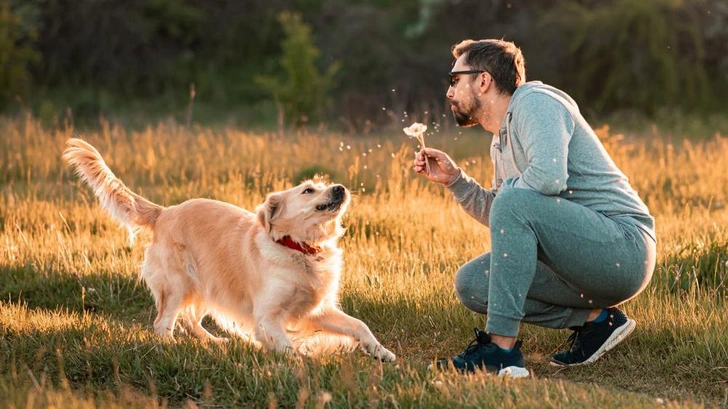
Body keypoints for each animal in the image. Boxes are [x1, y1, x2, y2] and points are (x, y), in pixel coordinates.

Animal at [61, 138, 396, 360]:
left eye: (324, 185)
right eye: (308, 190)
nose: (340, 188)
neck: (300, 249)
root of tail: (165, 212)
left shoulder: (318, 309)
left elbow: (359, 325)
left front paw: (381, 352)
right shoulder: (267, 315)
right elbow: (287, 346)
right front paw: (303, 364)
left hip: (206, 285)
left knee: (190, 320)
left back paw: (215, 342)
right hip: (180, 283)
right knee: (163, 323)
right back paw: (170, 348)